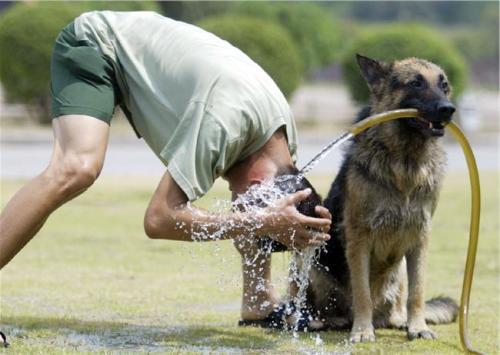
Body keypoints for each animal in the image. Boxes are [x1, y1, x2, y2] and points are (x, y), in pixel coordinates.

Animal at [302, 55, 458, 342]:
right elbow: (362, 292)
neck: (406, 163)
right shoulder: (359, 239)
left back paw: (398, 321)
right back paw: (325, 321)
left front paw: (418, 327)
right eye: (416, 83)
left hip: (399, 271)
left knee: (397, 305)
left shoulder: (420, 239)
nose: (448, 109)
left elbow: (417, 293)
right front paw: (363, 331)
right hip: (311, 257)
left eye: (444, 86)